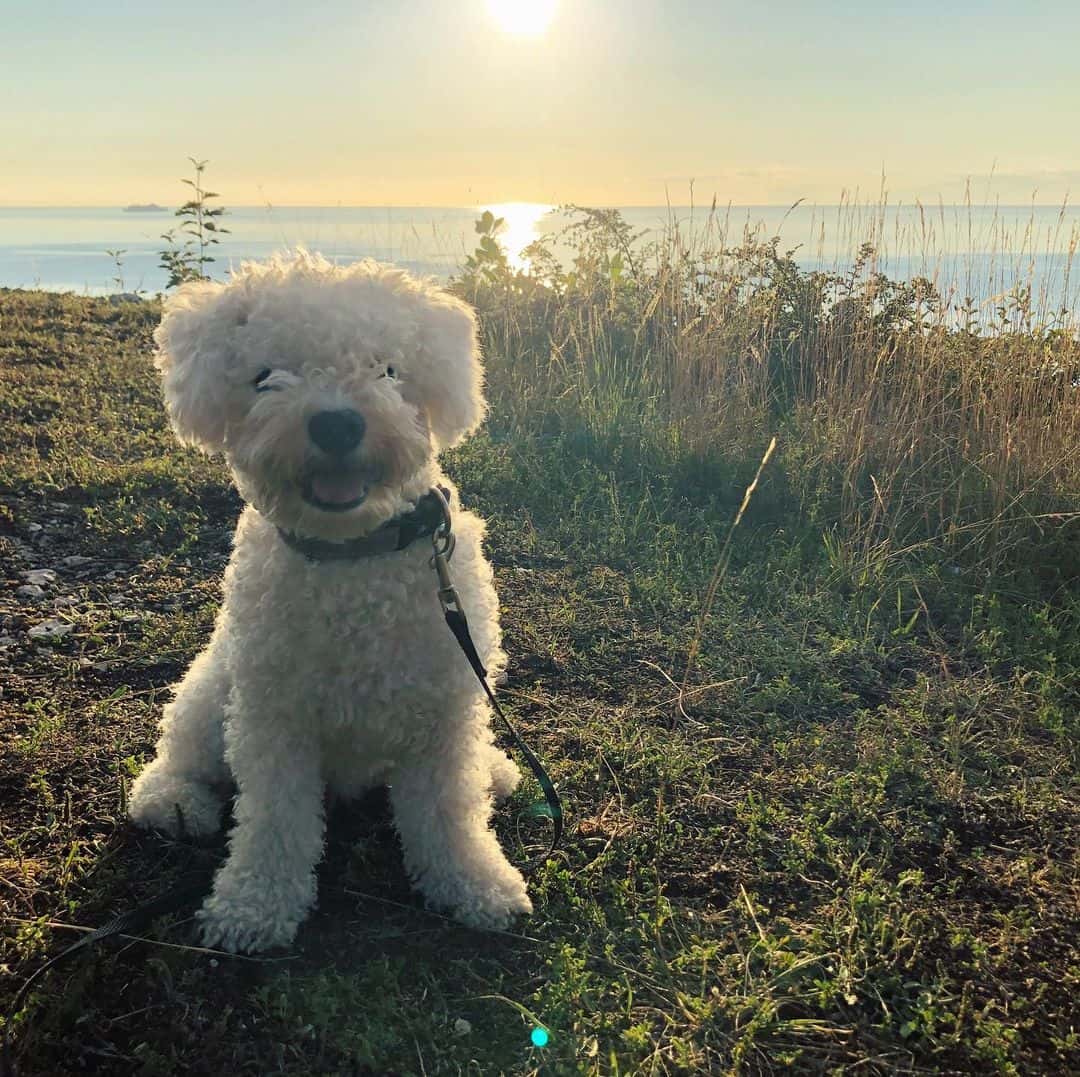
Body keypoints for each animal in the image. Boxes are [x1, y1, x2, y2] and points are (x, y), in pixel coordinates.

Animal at [128, 249, 533, 950]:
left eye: (387, 369)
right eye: (266, 377)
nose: (338, 423)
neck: (352, 559)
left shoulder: (444, 714)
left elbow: (450, 813)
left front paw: (475, 883)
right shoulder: (274, 718)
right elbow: (275, 821)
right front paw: (253, 904)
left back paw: (496, 769)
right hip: (214, 688)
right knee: (178, 751)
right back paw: (172, 801)